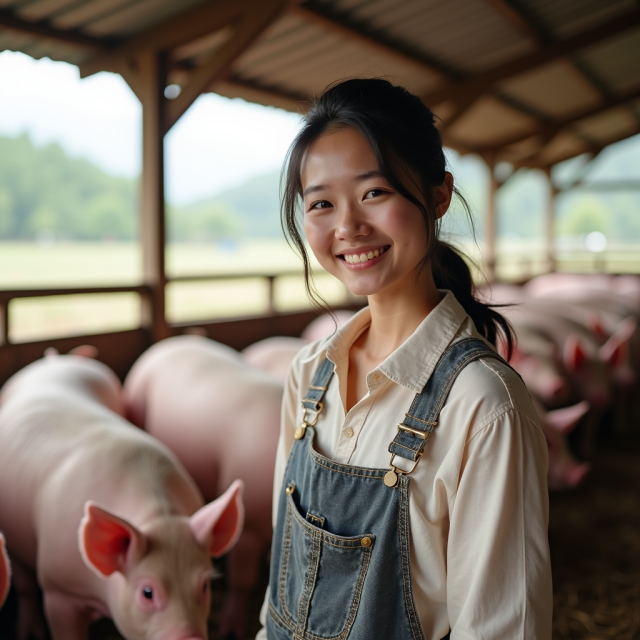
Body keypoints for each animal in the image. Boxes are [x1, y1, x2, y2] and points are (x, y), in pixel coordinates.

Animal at [0, 356, 244, 640]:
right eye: (147, 592)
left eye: (204, 585)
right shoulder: (58, 590)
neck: (159, 517)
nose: (191, 637)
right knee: (24, 582)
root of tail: (53, 359)